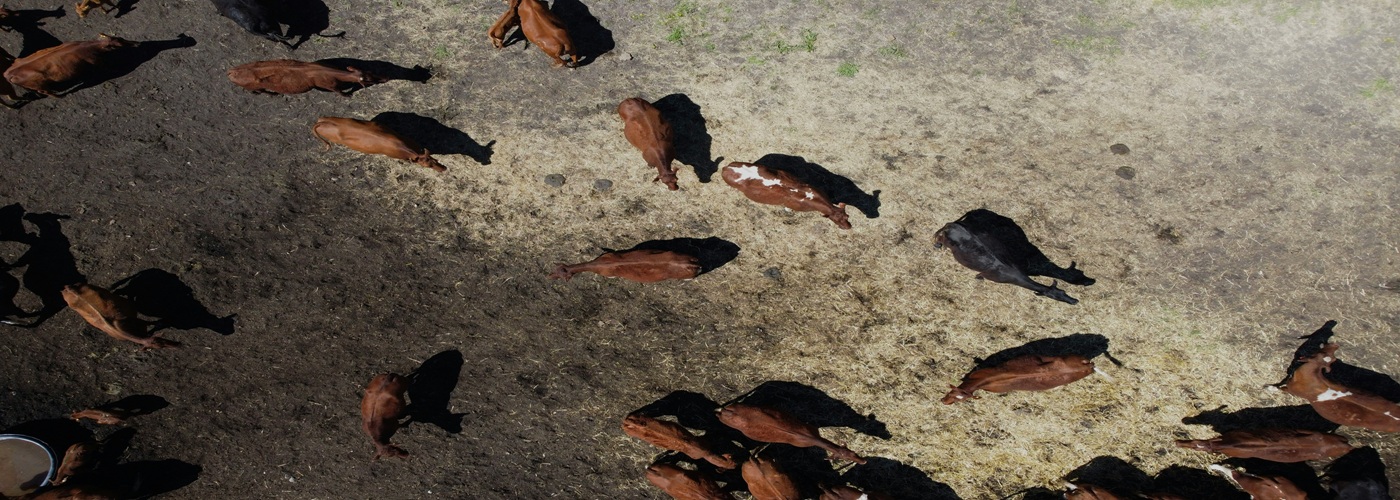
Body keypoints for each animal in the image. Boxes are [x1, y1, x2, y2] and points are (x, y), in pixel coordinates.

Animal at [4, 35, 139, 97]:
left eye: (121, 38)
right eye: (119, 43)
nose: (136, 43)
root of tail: (7, 73)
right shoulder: (96, 61)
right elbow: (108, 68)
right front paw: (117, 69)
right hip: (39, 85)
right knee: (45, 91)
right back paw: (59, 95)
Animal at [716, 403, 865, 464]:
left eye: (853, 453)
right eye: (846, 459)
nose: (864, 461)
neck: (810, 436)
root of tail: (728, 410)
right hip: (724, 420)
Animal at [934, 218, 1078, 304]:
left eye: (1063, 292)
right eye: (1055, 297)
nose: (1075, 301)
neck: (1015, 275)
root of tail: (952, 225)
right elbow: (980, 275)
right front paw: (978, 278)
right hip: (945, 239)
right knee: (938, 237)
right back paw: (937, 245)